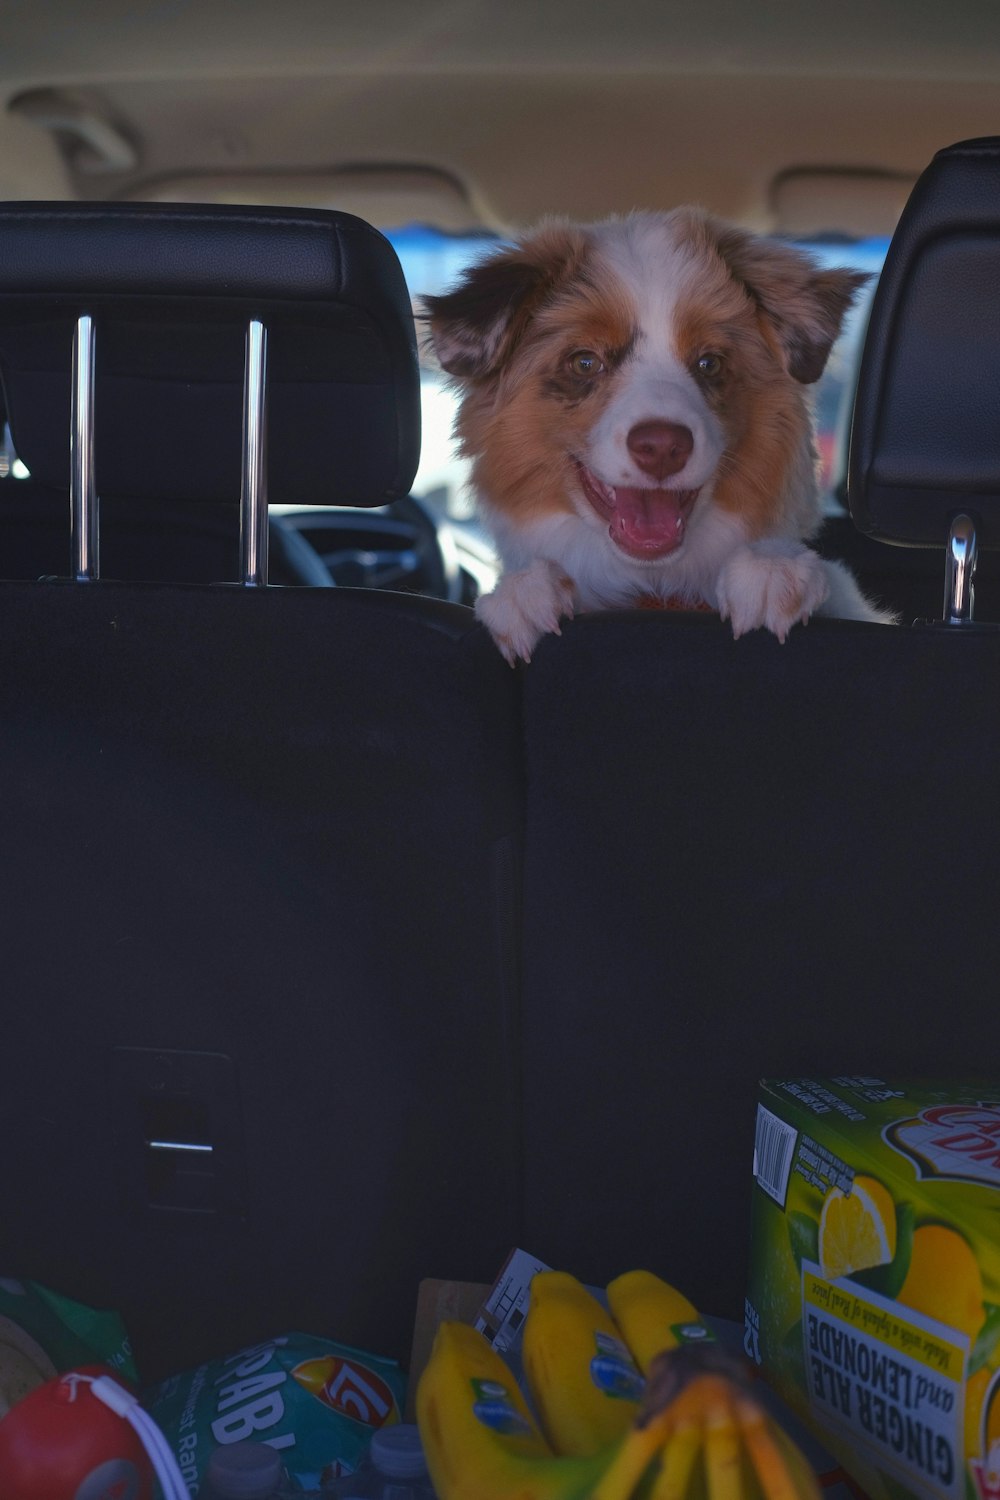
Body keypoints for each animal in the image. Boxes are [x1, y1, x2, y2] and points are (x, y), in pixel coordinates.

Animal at [422, 207, 893, 663]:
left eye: (709, 363)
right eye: (584, 362)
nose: (663, 448)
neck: (656, 588)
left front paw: (771, 569)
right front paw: (525, 593)